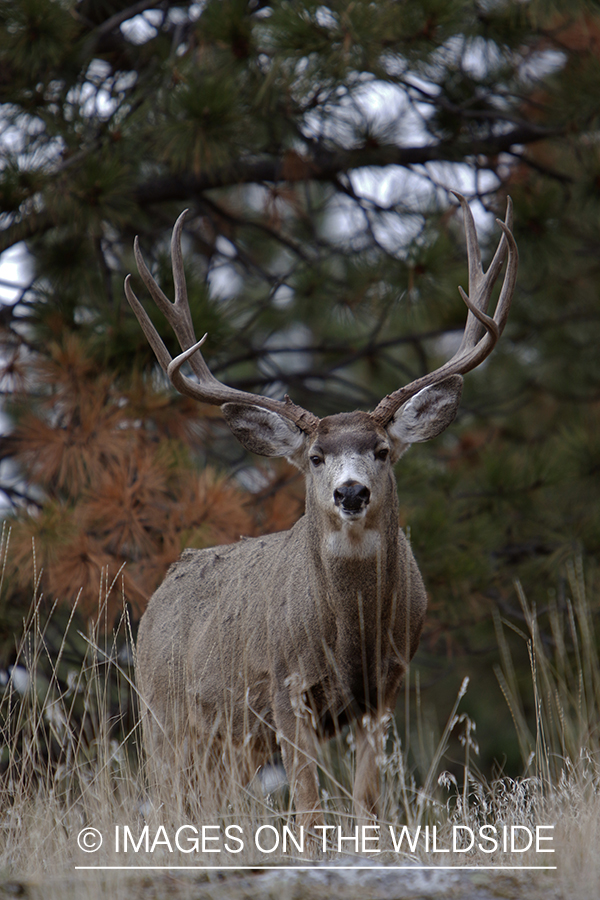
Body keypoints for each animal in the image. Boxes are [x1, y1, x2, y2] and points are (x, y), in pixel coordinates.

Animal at [125, 193, 516, 832]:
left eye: (381, 450)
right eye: (314, 457)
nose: (351, 493)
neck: (348, 634)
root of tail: (157, 596)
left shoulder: (383, 688)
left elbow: (367, 800)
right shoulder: (286, 687)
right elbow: (308, 807)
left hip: (228, 742)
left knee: (213, 800)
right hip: (163, 717)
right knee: (170, 796)